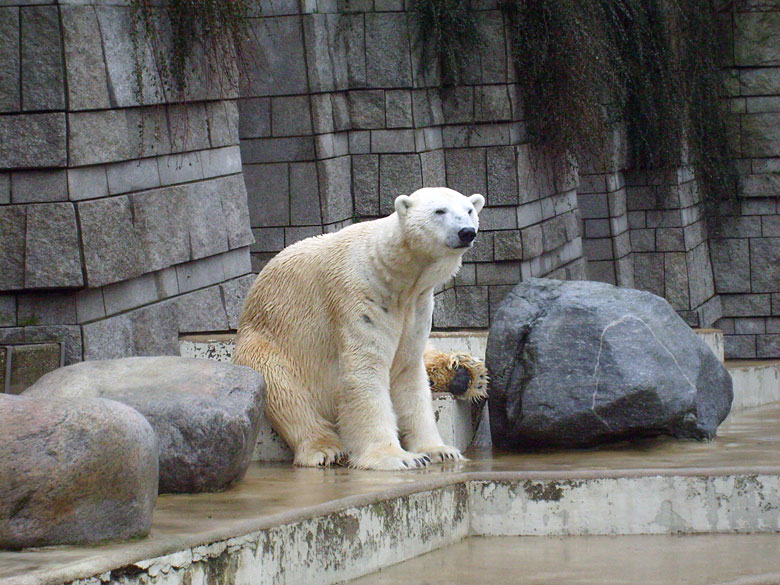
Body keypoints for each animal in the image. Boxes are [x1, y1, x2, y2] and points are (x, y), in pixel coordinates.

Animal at [233, 187, 482, 470]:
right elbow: (365, 371)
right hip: (267, 342)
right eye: (439, 211)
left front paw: (440, 450)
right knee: (285, 391)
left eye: (469, 210)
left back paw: (466, 372)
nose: (466, 232)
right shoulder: (361, 297)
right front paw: (397, 457)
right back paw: (326, 448)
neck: (393, 272)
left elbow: (408, 371)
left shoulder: (416, 306)